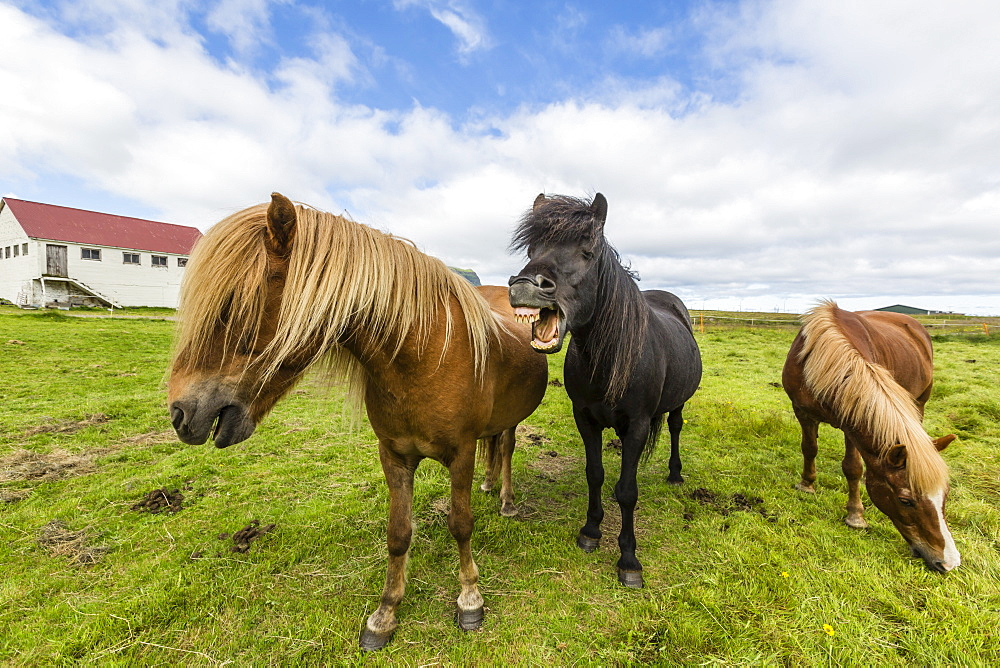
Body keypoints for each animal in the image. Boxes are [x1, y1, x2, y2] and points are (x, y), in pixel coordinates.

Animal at [170, 192, 548, 648]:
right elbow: (398, 533)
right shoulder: (394, 455)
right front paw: (385, 614)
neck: (423, 357)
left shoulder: (460, 453)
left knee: (506, 447)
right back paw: (490, 484)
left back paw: (506, 498)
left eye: (232, 306)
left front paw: (469, 598)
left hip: (509, 423)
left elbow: (461, 524)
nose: (179, 413)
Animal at [508, 194, 704, 588]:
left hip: (678, 404)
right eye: (532, 249)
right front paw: (590, 531)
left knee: (675, 427)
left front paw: (629, 560)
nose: (524, 285)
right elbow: (594, 474)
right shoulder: (585, 418)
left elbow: (628, 492)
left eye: (587, 252)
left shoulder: (639, 424)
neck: (610, 359)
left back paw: (675, 474)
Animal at [780, 300, 960, 572]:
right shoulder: (802, 411)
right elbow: (809, 448)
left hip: (920, 402)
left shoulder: (852, 423)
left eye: (945, 495)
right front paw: (807, 485)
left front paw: (855, 515)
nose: (949, 562)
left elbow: (853, 468)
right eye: (905, 500)